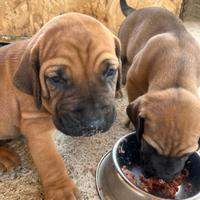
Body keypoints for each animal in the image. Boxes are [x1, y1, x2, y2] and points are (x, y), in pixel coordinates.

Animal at [0, 12, 121, 200]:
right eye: (56, 79)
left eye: (110, 71)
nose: (93, 123)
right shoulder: (36, 127)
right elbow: (51, 161)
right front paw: (61, 190)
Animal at [119, 0, 200, 181]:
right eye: (151, 148)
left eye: (185, 155)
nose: (164, 177)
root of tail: (135, 11)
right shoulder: (134, 79)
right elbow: (133, 97)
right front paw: (130, 122)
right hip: (123, 49)